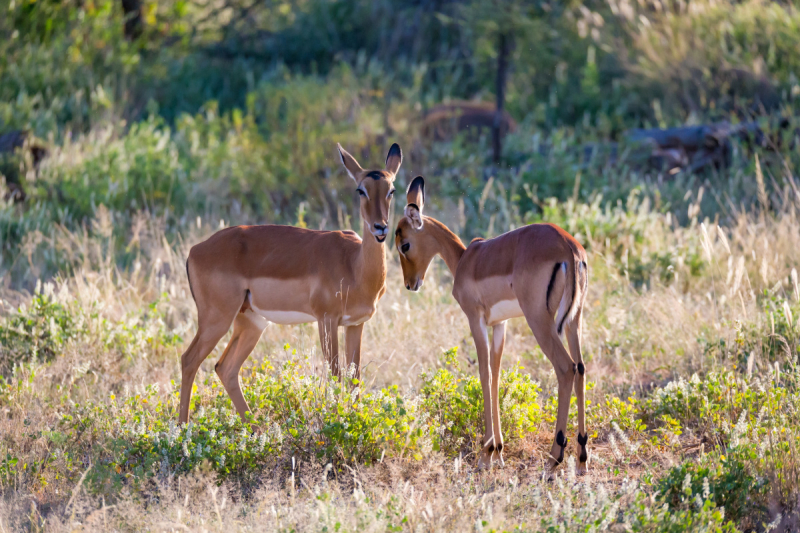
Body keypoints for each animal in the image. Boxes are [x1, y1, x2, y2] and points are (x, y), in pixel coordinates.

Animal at [180, 142, 406, 424]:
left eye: (391, 190)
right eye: (360, 189)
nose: (380, 227)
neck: (355, 266)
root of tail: (195, 251)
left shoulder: (355, 324)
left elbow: (354, 380)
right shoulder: (326, 320)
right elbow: (335, 374)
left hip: (251, 322)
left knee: (226, 368)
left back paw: (255, 429)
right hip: (216, 320)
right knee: (189, 360)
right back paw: (182, 428)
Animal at [392, 177, 588, 472]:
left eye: (404, 244)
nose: (409, 284)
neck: (465, 260)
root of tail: (568, 247)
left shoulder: (476, 320)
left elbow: (483, 374)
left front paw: (486, 453)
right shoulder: (500, 325)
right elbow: (496, 377)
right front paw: (498, 453)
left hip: (540, 321)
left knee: (566, 368)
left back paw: (553, 461)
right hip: (573, 320)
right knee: (581, 368)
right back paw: (582, 459)